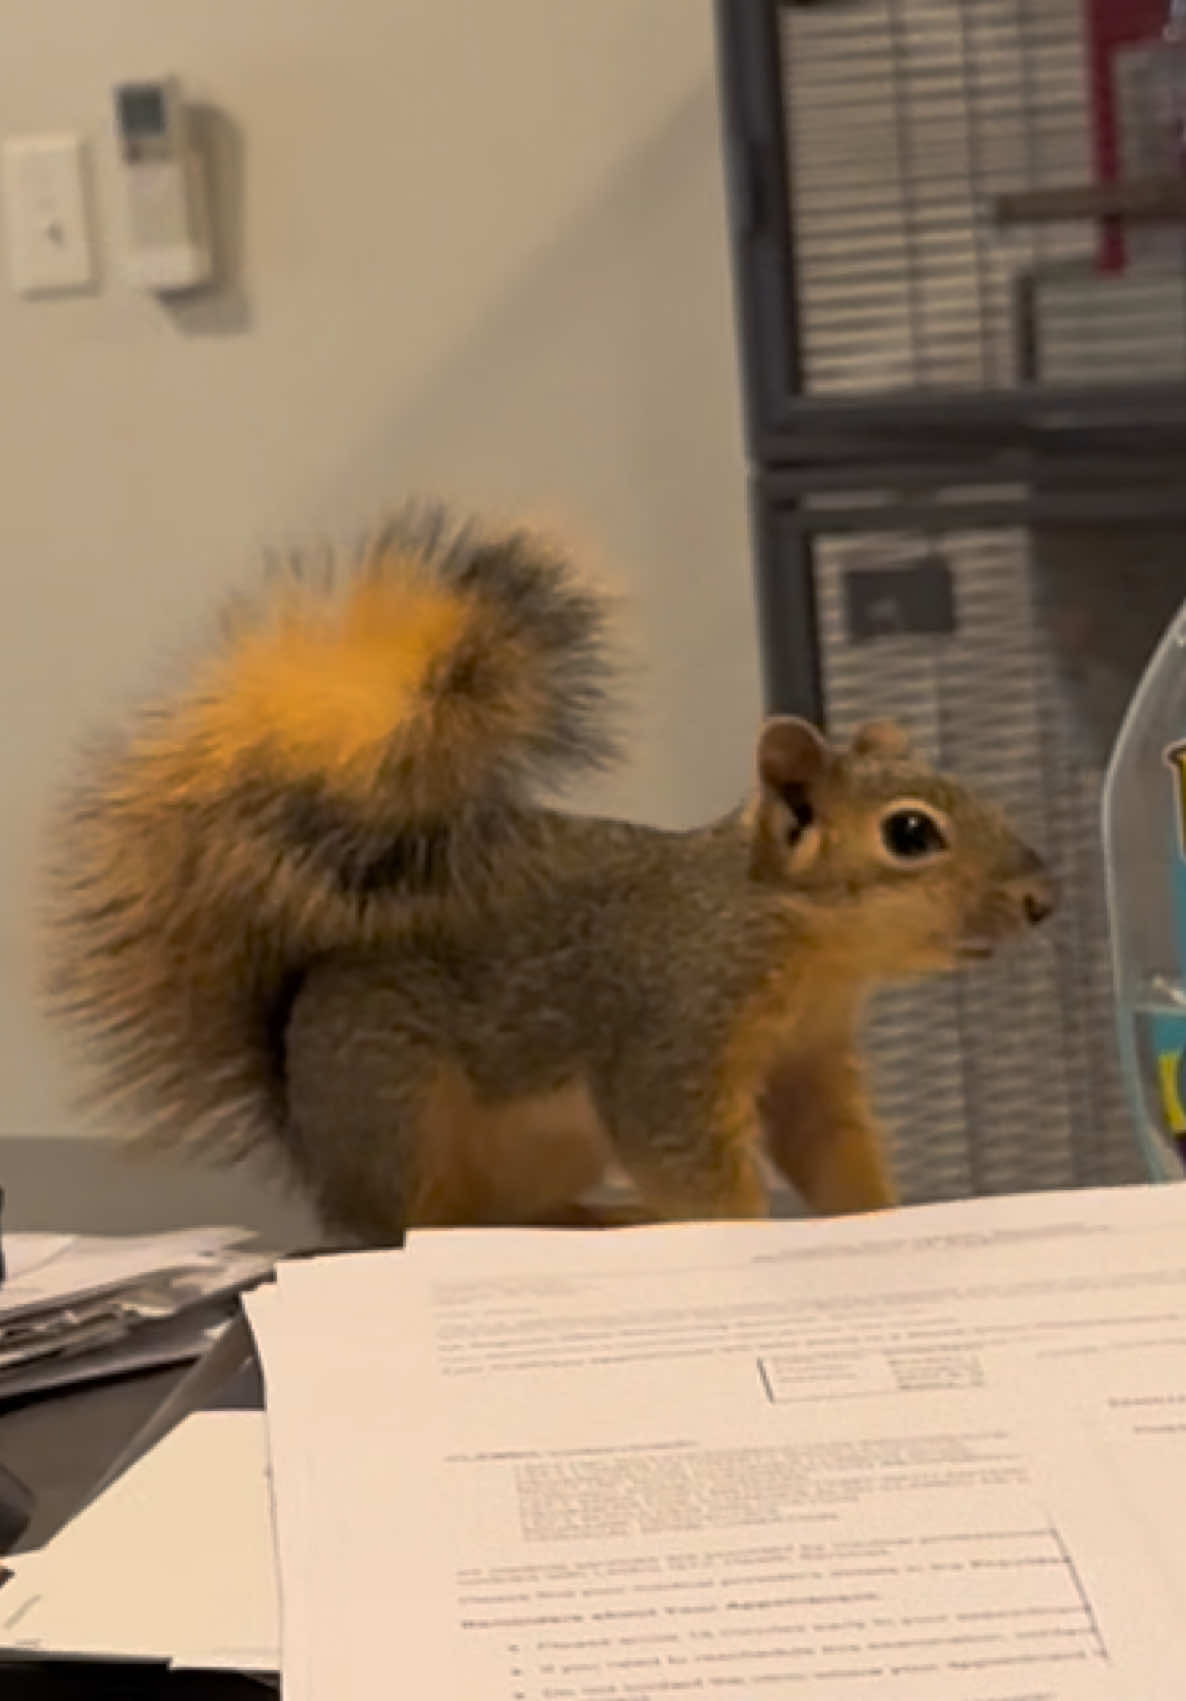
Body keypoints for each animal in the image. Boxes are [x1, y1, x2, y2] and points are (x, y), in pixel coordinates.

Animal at [43, 504, 1055, 1242]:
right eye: (911, 833)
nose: (1042, 900)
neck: (788, 934)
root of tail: (308, 1131)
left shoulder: (807, 1061)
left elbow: (827, 1151)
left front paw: (885, 1222)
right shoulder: (672, 1027)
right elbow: (687, 1158)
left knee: (517, 1210)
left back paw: (602, 1219)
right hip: (397, 1105)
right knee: (429, 1223)